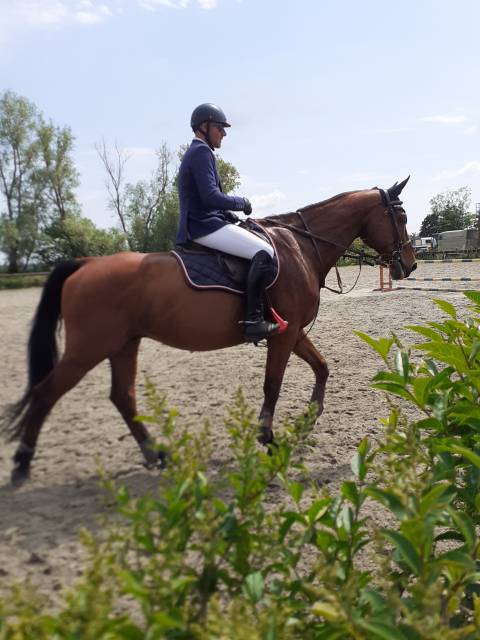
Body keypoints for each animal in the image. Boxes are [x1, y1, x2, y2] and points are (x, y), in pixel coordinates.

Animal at [1, 178, 416, 484]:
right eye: (402, 217)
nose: (409, 265)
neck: (300, 247)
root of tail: (85, 264)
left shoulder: (294, 331)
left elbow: (323, 367)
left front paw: (307, 420)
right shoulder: (283, 335)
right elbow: (273, 385)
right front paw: (268, 439)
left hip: (123, 344)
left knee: (122, 396)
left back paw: (156, 454)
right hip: (88, 349)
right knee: (46, 392)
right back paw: (22, 462)